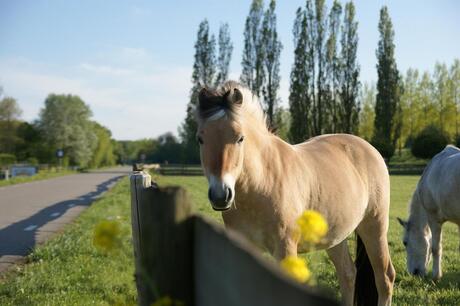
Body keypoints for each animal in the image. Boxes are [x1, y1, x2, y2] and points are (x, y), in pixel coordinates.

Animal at [196, 81, 394, 306]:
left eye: (240, 138)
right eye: (200, 139)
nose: (221, 195)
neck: (262, 184)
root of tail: (371, 150)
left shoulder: (286, 250)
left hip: (375, 227)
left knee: (385, 278)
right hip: (336, 237)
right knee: (348, 274)